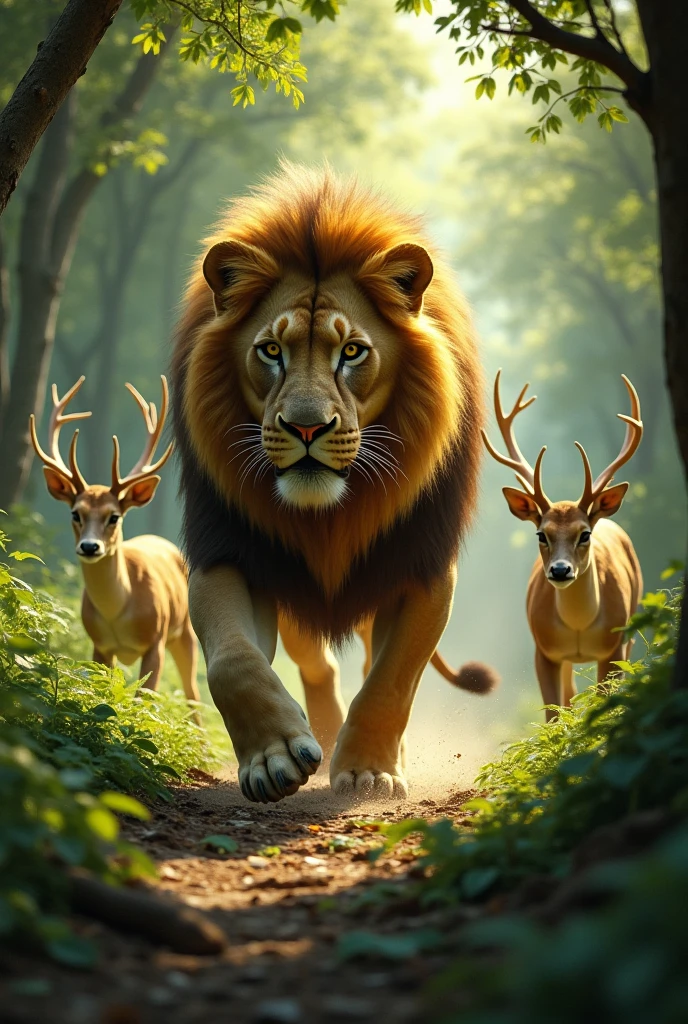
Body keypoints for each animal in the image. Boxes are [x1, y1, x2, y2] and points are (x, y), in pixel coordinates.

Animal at [30, 375, 200, 706]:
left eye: (114, 516)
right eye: (75, 513)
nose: (89, 546)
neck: (118, 614)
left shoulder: (156, 640)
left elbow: (144, 700)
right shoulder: (99, 646)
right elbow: (102, 694)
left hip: (184, 630)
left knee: (193, 696)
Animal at [171, 163, 498, 803]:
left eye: (352, 351)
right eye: (271, 350)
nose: (305, 426)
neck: (331, 513)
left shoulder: (423, 565)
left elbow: (393, 677)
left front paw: (369, 771)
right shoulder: (229, 549)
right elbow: (232, 661)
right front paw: (274, 756)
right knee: (318, 662)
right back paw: (318, 734)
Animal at [483, 371, 643, 721]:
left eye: (585, 534)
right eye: (541, 534)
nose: (559, 570)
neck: (579, 626)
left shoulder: (614, 646)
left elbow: (604, 704)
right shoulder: (543, 650)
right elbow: (554, 715)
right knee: (569, 695)